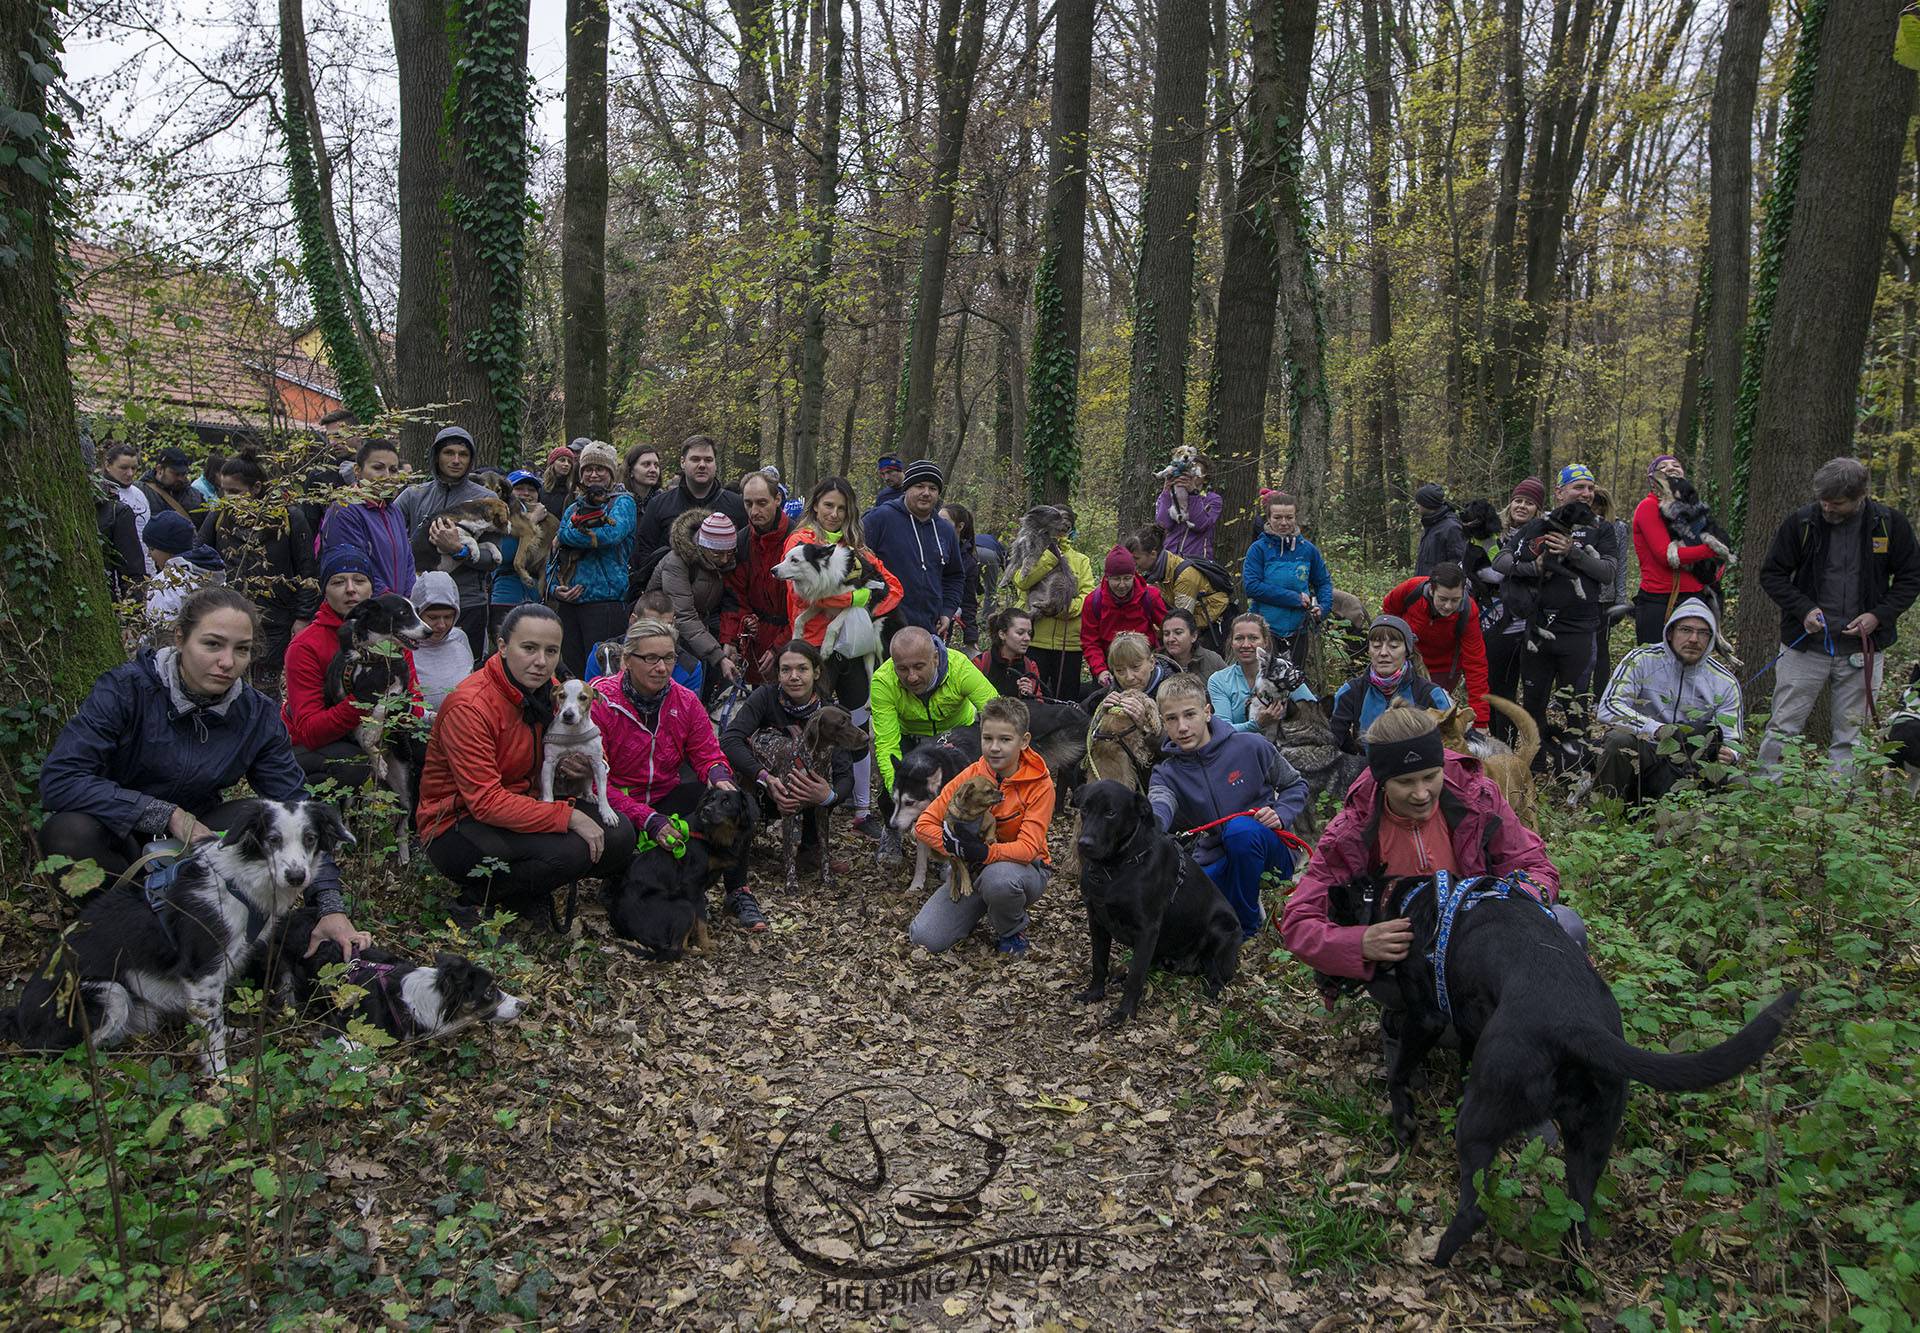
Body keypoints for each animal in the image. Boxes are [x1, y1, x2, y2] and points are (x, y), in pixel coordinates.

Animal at [2, 802, 353, 1075]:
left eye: (310, 838)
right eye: (272, 839)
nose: (297, 877)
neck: (238, 882)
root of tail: (17, 1016)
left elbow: (213, 1019)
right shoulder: (202, 973)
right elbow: (212, 1032)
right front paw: (222, 1082)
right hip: (107, 994)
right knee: (68, 1054)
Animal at [541, 679, 614, 825]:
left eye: (583, 697)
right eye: (561, 695)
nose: (568, 715)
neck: (573, 733)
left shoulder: (598, 764)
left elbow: (603, 791)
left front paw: (607, 812)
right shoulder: (548, 763)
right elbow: (547, 789)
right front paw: (548, 804)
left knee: (587, 785)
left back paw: (590, 795)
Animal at [1075, 783, 1236, 1037]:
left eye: (1111, 813)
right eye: (1084, 809)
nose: (1084, 844)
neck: (1115, 869)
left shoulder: (1147, 930)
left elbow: (1136, 977)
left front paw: (1124, 1013)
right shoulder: (1096, 920)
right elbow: (1098, 962)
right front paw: (1095, 994)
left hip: (1221, 929)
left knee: (1217, 974)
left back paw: (1212, 991)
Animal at [1320, 872, 1797, 1267]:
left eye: (1333, 917)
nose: (1319, 979)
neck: (1403, 899)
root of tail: (1577, 1025)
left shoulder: (1427, 1018)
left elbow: (1398, 1074)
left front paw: (1403, 1122)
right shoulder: (1470, 1025)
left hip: (1481, 1121)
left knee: (1474, 1207)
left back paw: (1437, 1257)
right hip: (1589, 1144)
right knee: (1580, 1220)